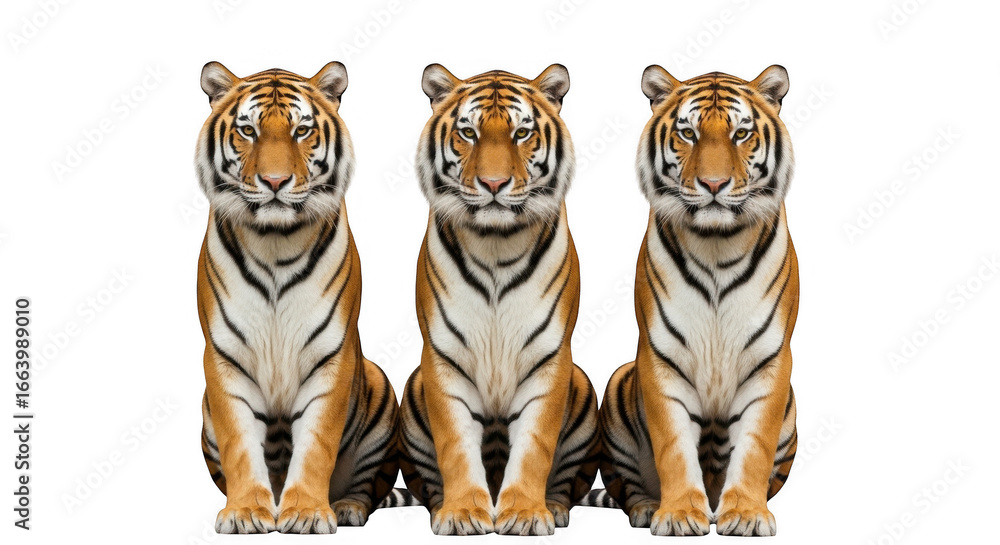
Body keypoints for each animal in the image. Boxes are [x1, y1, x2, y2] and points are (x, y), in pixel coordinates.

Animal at [194, 61, 400, 534]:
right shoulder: (225, 358)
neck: (275, 241)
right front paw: (245, 511)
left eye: (302, 130)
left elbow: (316, 443)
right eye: (247, 130)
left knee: (366, 486)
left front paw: (306, 512)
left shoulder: (331, 356)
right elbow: (239, 440)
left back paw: (346, 507)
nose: (274, 181)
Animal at [396, 64, 601, 536]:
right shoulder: (443, 358)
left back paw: (555, 508)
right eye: (468, 133)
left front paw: (525, 513)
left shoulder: (549, 359)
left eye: (521, 132)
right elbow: (454, 442)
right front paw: (461, 513)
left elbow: (535, 445)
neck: (496, 244)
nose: (493, 184)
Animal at [599, 65, 799, 537]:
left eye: (741, 133)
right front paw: (677, 514)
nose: (713, 184)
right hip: (619, 384)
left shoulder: (771, 361)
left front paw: (746, 514)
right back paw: (647, 507)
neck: (717, 245)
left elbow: (755, 444)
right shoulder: (660, 357)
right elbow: (673, 444)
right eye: (687, 133)